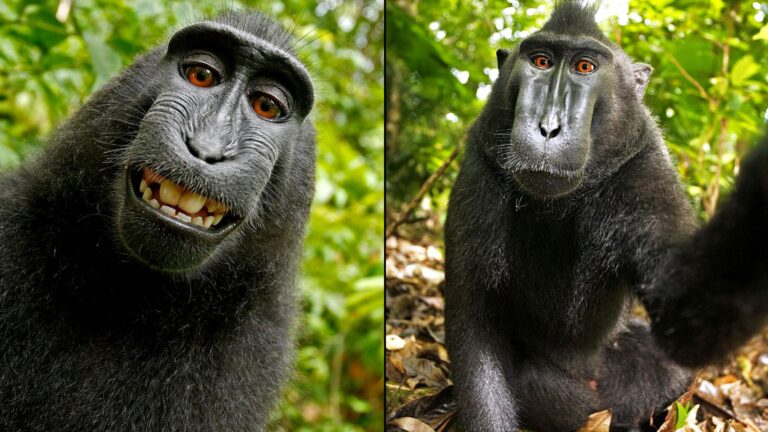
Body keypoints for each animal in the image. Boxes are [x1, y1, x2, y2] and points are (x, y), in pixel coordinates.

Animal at [444, 1, 768, 431]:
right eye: (541, 61)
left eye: (585, 67)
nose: (548, 127)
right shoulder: (480, 171)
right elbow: (473, 326)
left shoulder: (644, 170)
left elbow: (689, 321)